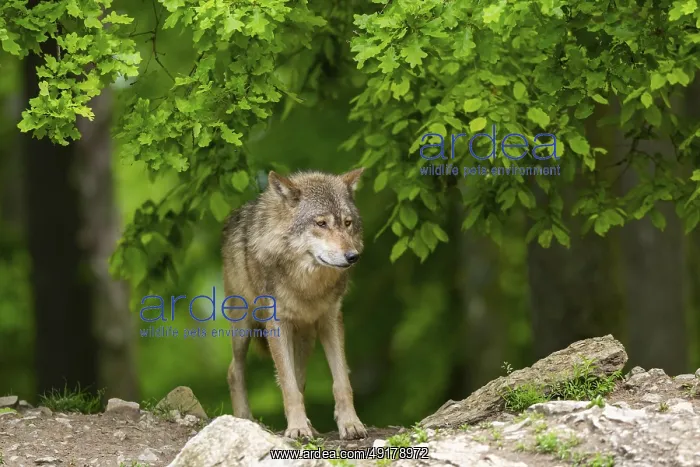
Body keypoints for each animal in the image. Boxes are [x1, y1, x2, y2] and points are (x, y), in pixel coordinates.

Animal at [221, 168, 367, 440]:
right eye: (321, 223)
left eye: (347, 223)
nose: (353, 256)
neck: (307, 285)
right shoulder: (276, 325)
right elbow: (288, 386)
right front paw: (297, 428)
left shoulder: (331, 320)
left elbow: (341, 381)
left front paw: (350, 424)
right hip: (243, 327)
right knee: (235, 371)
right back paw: (244, 418)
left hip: (305, 337)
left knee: (300, 378)